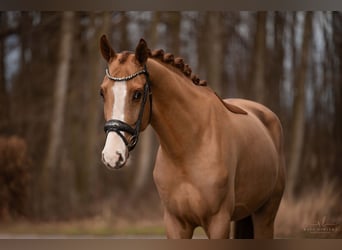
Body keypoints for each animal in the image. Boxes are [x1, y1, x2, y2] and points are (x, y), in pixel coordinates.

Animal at [99, 34, 286, 238]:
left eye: (137, 94)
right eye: (102, 92)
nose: (112, 155)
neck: (189, 148)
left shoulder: (218, 222)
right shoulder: (175, 223)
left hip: (265, 214)